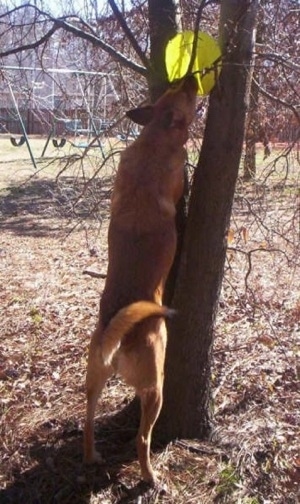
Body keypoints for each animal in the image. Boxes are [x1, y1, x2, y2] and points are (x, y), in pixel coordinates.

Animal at [83, 74, 198, 484]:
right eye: (186, 96)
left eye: (174, 90)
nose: (190, 77)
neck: (152, 138)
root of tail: (119, 337)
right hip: (155, 387)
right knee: (142, 439)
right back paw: (150, 477)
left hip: (94, 378)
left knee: (87, 421)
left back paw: (93, 455)